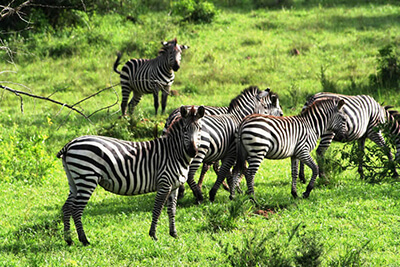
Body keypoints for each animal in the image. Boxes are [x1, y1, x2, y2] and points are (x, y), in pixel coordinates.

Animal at [57, 105, 205, 246]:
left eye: (199, 129)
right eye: (185, 129)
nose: (193, 151)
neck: (173, 153)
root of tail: (70, 143)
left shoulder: (174, 186)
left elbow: (172, 210)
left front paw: (174, 234)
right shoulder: (164, 183)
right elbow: (157, 209)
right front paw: (153, 235)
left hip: (75, 180)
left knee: (67, 208)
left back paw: (69, 240)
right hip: (87, 178)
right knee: (76, 209)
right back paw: (84, 240)